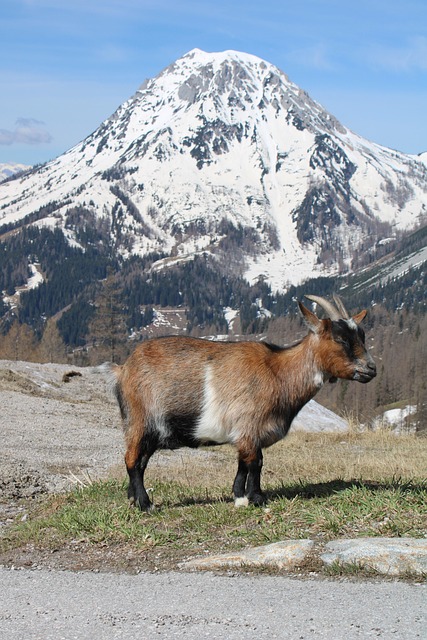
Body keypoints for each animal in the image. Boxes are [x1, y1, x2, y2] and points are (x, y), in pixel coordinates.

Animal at [105, 295, 376, 511]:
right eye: (340, 339)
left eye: (362, 335)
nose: (371, 369)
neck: (279, 372)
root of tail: (124, 369)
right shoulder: (249, 425)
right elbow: (256, 462)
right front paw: (257, 498)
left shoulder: (245, 432)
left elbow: (244, 463)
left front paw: (239, 496)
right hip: (139, 420)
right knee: (131, 459)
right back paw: (145, 504)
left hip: (152, 431)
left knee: (141, 462)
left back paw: (133, 499)